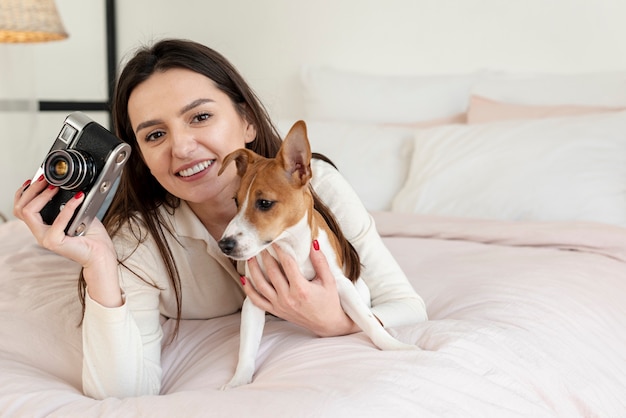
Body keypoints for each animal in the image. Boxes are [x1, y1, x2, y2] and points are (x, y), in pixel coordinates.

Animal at [214, 120, 414, 388]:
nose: (224, 244)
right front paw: (238, 381)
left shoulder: (341, 285)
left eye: (264, 203)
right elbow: (246, 347)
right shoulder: (254, 300)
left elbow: (369, 322)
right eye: (235, 201)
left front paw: (396, 347)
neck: (291, 247)